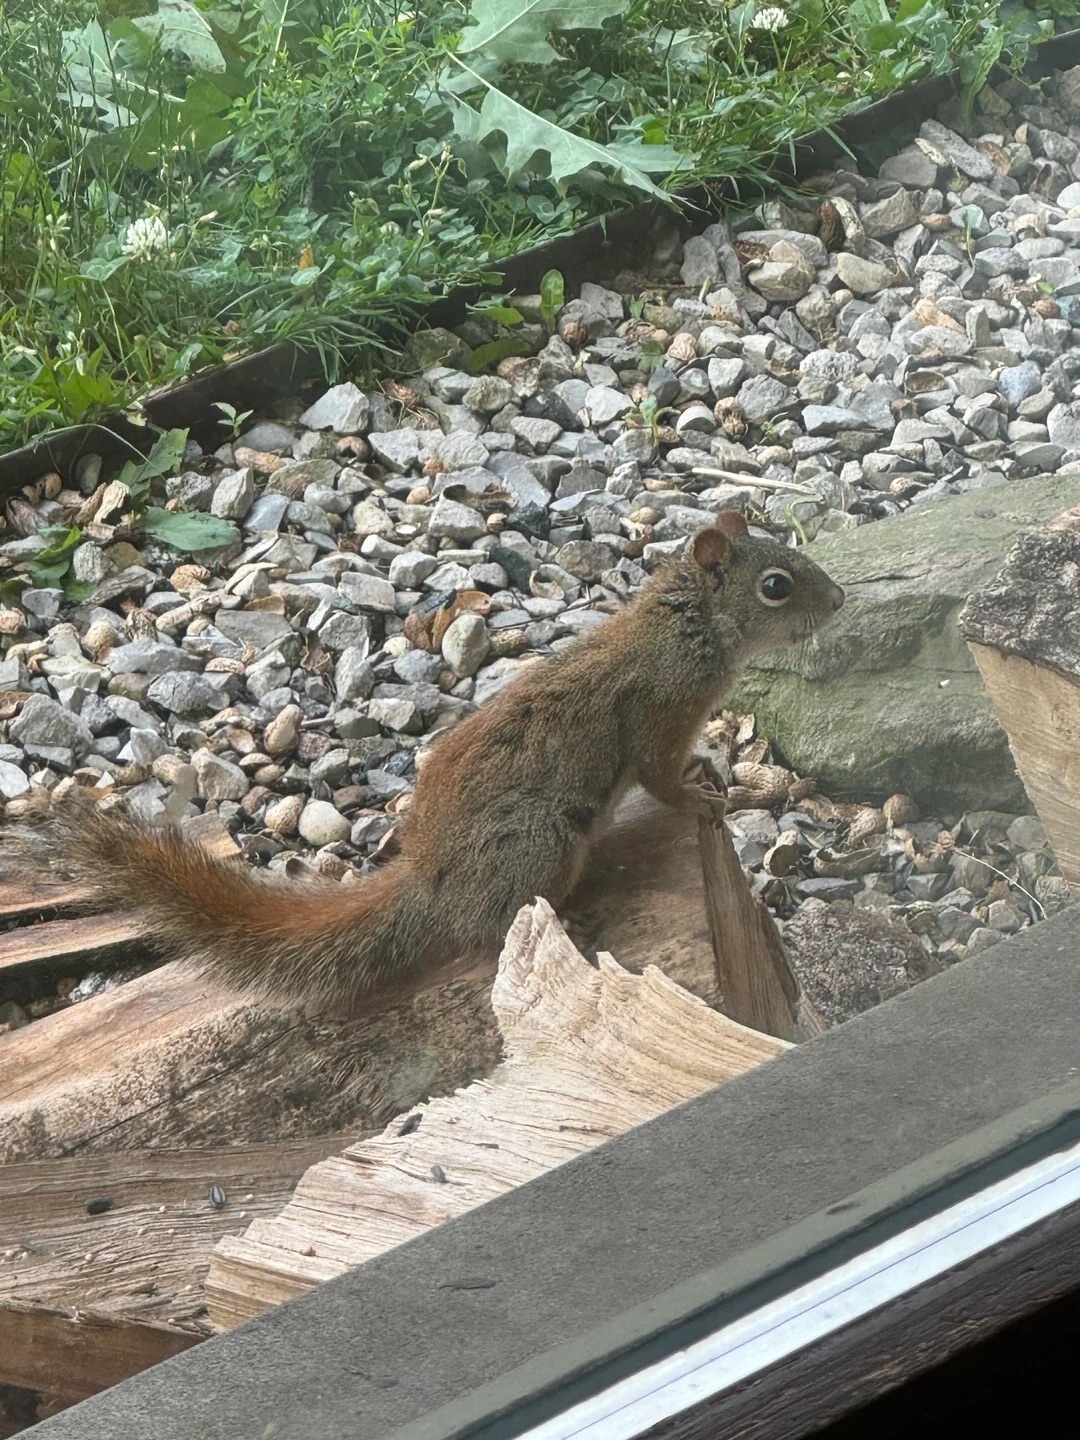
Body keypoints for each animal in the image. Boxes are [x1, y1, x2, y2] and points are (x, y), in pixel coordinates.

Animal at [7, 511, 844, 1012]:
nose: (838, 602)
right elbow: (661, 777)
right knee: (495, 931)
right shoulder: (659, 711)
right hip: (542, 842)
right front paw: (702, 797)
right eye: (776, 585)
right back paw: (564, 919)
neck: (688, 623)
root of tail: (430, 885)